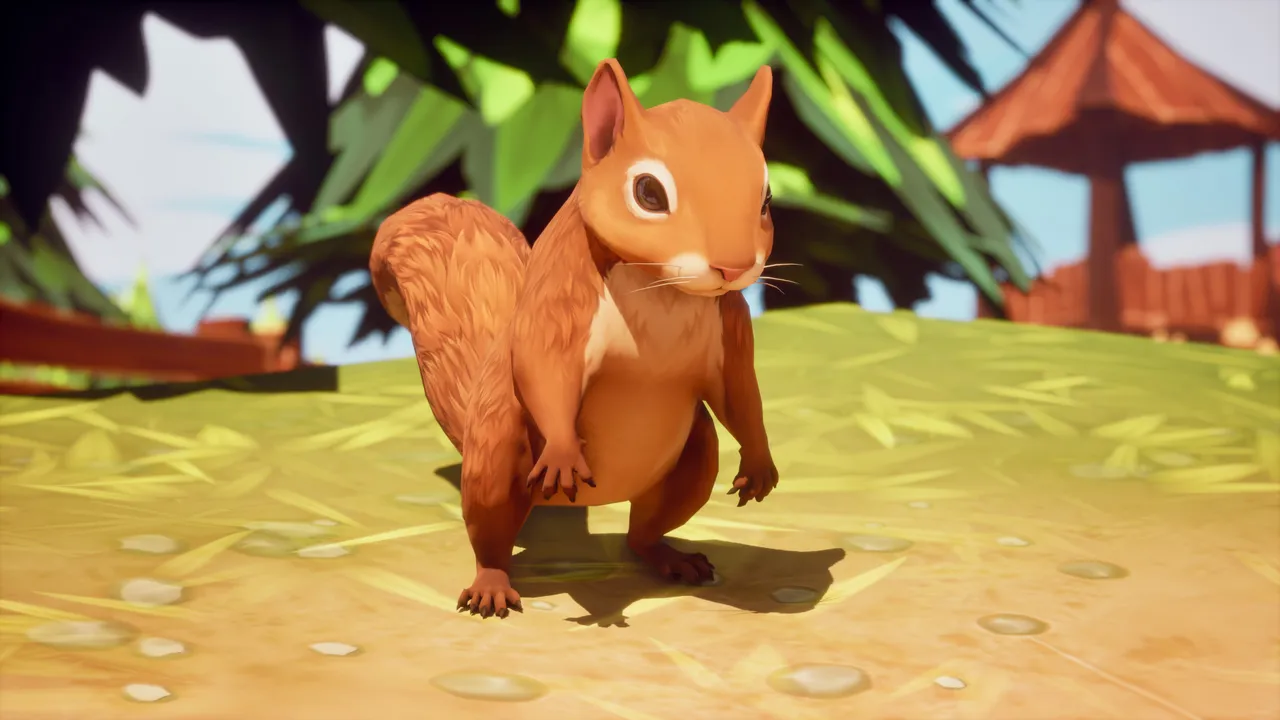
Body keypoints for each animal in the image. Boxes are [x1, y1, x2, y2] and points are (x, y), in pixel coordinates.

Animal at [370, 58, 779, 619]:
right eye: (649, 193)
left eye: (766, 198)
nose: (734, 267)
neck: (661, 291)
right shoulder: (559, 305)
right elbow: (545, 371)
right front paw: (564, 452)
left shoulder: (730, 326)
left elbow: (740, 394)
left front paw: (760, 463)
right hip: (497, 458)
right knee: (490, 535)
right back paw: (491, 584)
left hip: (692, 463)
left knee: (641, 533)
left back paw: (671, 558)